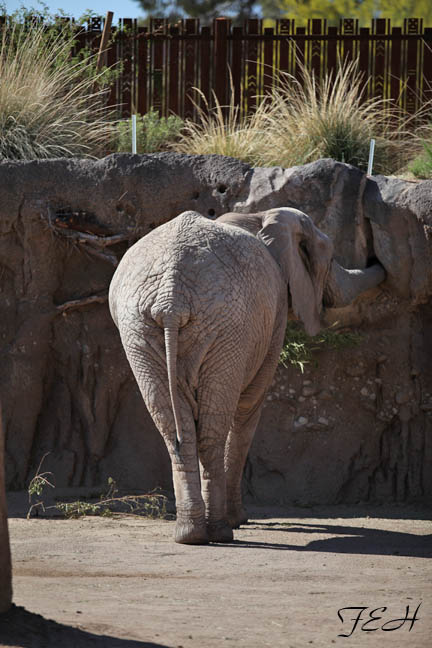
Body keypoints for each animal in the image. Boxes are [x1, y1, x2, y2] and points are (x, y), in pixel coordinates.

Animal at [109, 208, 385, 544]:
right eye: (329, 255)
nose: (378, 257)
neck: (257, 216)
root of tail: (171, 297)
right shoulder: (274, 313)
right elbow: (249, 407)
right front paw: (239, 519)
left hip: (139, 329)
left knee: (175, 428)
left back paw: (189, 534)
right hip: (225, 326)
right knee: (214, 427)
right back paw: (220, 530)